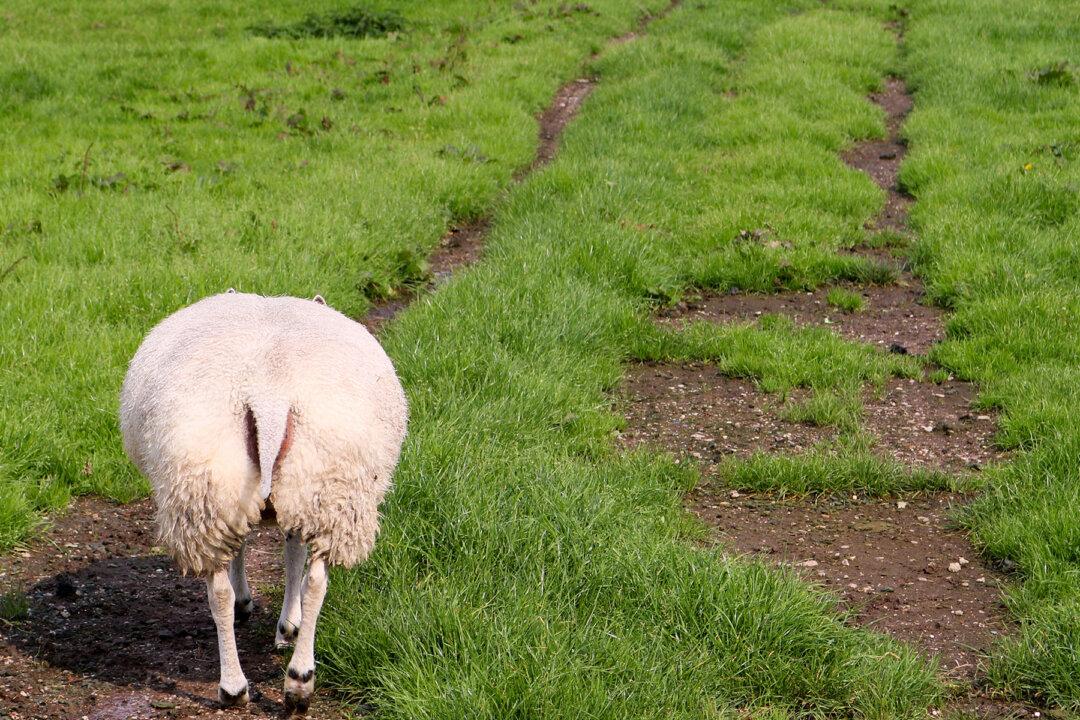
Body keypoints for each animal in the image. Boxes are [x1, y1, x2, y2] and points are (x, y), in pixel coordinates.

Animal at [119, 290, 408, 712]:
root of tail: (269, 395)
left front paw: (274, 618)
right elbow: (291, 554)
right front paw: (288, 624)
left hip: (219, 488)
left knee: (225, 591)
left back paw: (247, 684)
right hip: (323, 488)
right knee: (314, 582)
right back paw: (291, 681)